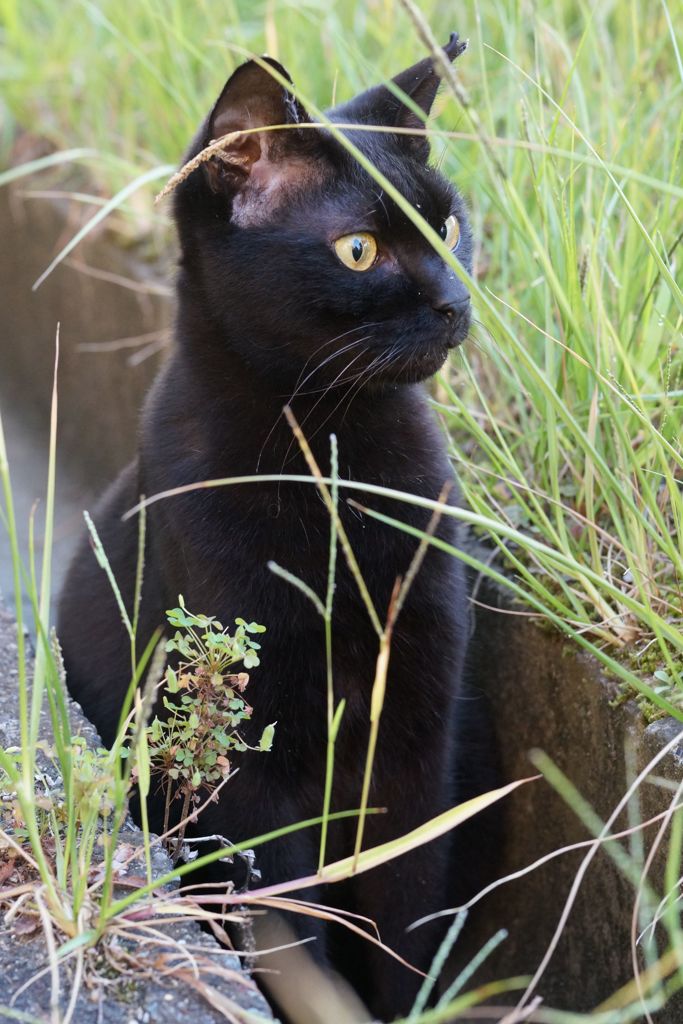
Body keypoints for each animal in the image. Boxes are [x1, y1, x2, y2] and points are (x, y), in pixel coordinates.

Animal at [58, 34, 497, 1024]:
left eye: (449, 228)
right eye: (359, 250)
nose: (456, 302)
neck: (332, 459)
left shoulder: (414, 734)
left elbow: (408, 907)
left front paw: (408, 1001)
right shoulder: (250, 769)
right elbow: (291, 921)